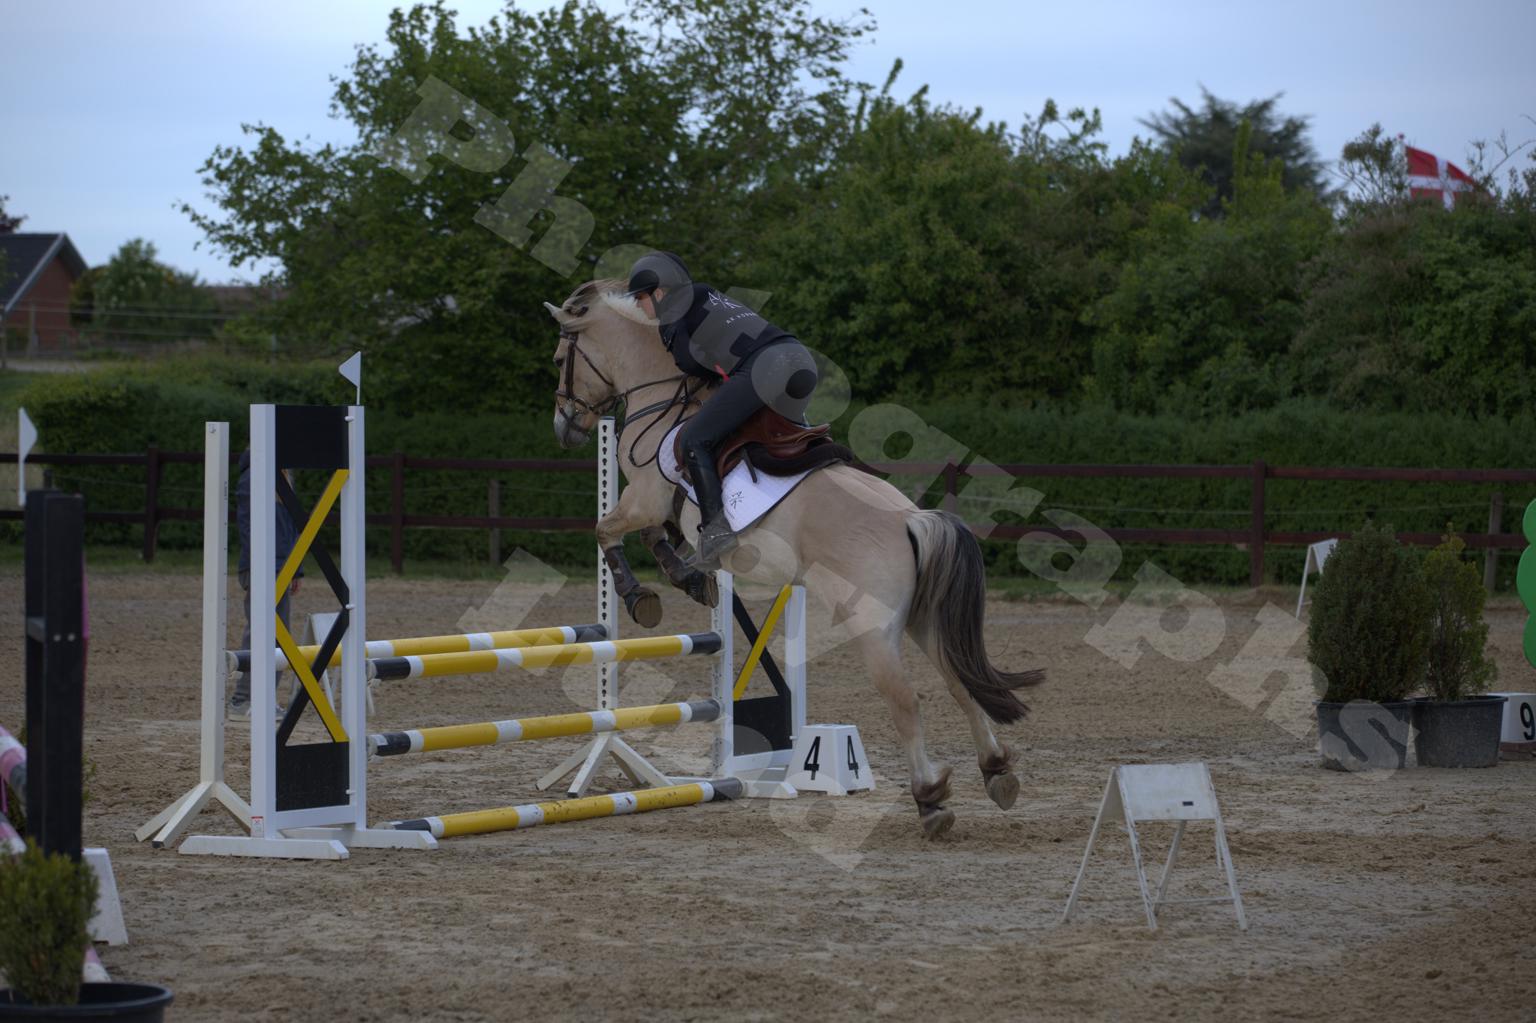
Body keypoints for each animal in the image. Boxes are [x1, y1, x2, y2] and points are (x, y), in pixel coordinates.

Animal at [543, 279, 1043, 838]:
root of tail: (910, 519)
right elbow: (656, 537)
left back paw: (930, 799)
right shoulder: (657, 507)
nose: (565, 427)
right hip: (922, 618)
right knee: (959, 684)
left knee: (905, 700)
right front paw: (690, 580)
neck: (660, 393)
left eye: (561, 357)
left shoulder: (646, 497)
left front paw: (641, 595)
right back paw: (996, 771)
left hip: (872, 628)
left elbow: (610, 531)